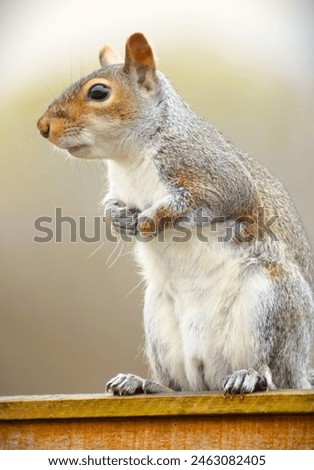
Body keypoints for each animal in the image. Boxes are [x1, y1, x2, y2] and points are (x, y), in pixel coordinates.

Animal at [37, 31, 314, 394]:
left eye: (98, 92)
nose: (43, 126)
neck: (130, 156)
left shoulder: (215, 176)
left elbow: (204, 200)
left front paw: (150, 220)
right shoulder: (120, 191)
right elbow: (112, 205)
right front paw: (119, 220)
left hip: (271, 302)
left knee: (274, 373)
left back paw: (250, 377)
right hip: (159, 323)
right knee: (178, 386)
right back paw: (142, 383)